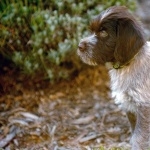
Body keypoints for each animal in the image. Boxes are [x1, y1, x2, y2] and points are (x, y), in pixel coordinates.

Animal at [77, 5, 150, 150]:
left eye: (104, 33)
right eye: (92, 31)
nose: (79, 46)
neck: (128, 64)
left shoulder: (144, 108)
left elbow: (139, 139)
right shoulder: (130, 108)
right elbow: (134, 135)